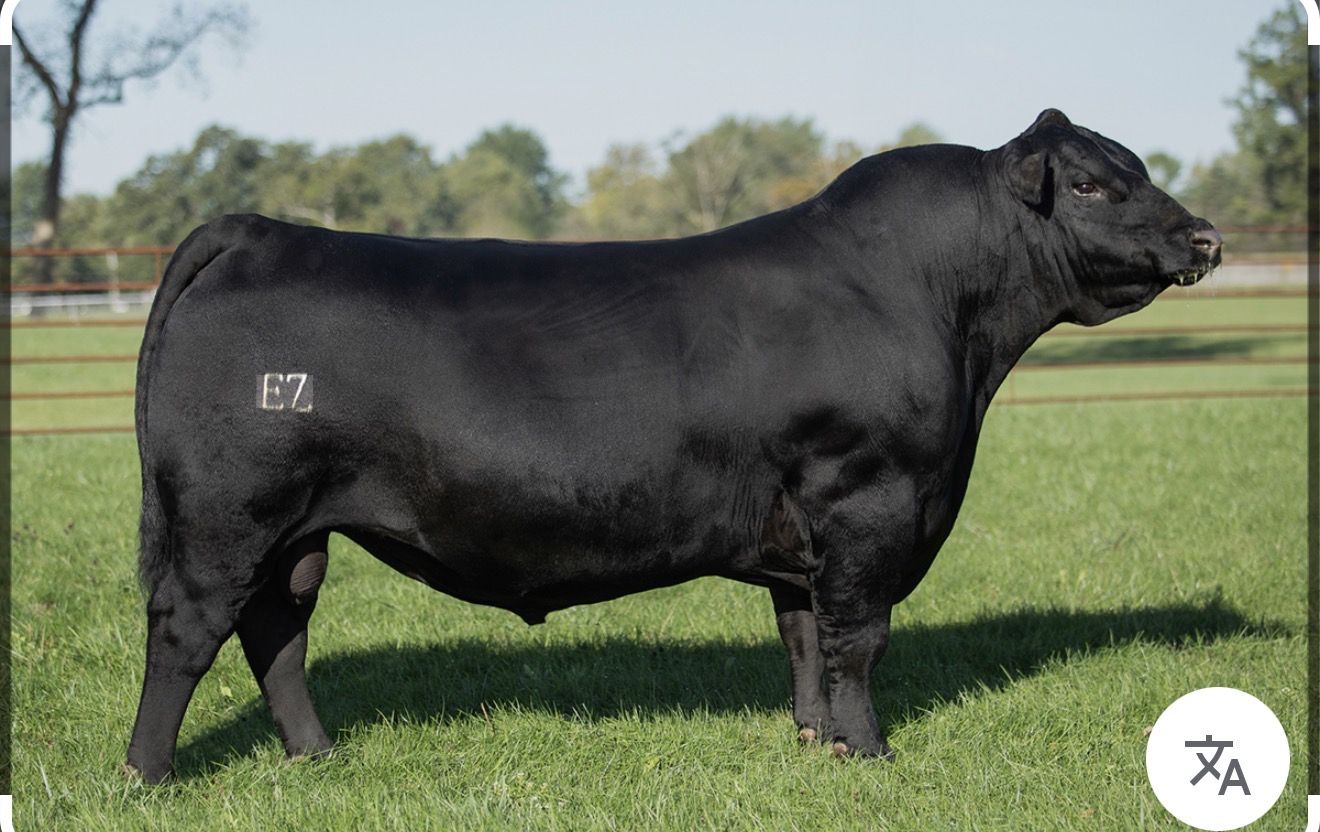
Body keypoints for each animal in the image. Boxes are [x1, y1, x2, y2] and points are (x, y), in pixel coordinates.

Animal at [125, 109, 1221, 783]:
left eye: (1140, 171)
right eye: (1091, 186)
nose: (1205, 238)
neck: (953, 319)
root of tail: (263, 229)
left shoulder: (803, 525)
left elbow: (804, 636)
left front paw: (815, 742)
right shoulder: (868, 497)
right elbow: (859, 638)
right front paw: (869, 754)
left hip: (294, 530)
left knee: (278, 629)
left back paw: (317, 755)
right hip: (226, 514)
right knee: (187, 629)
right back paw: (150, 773)